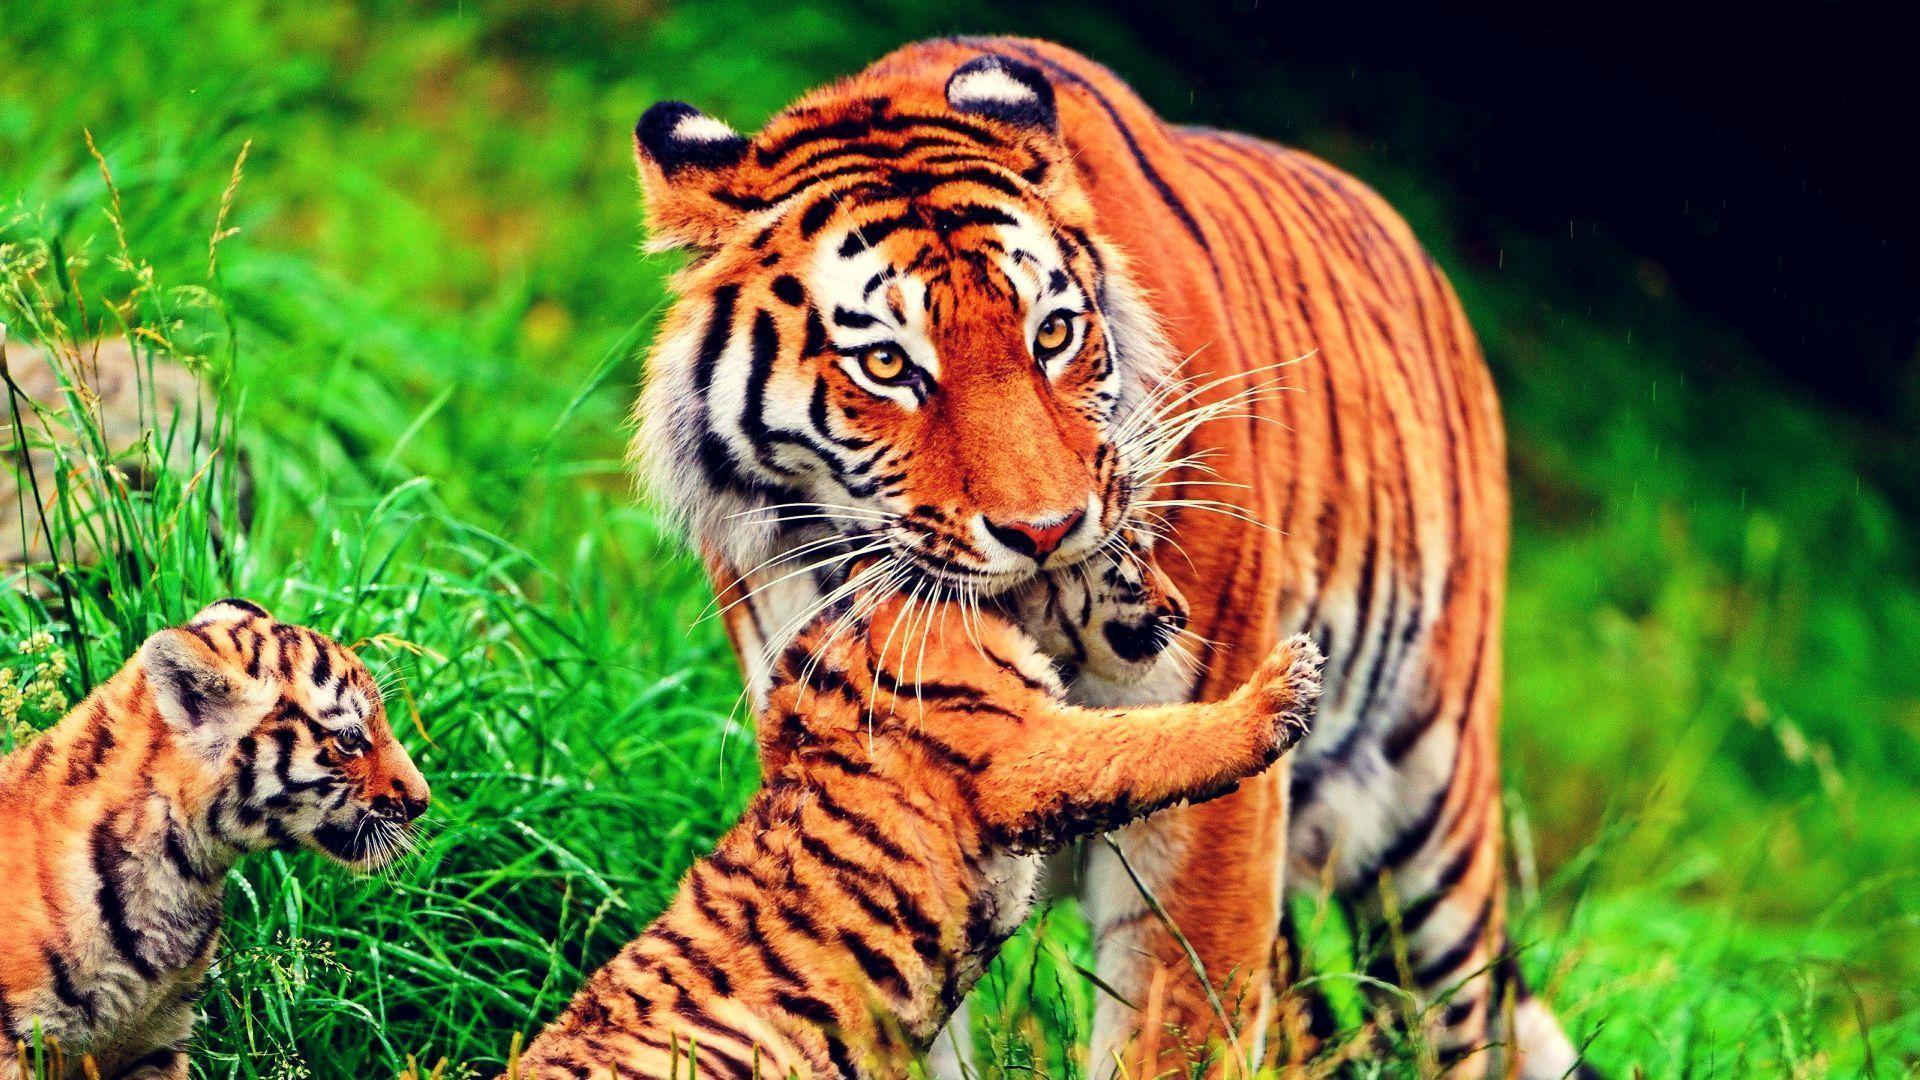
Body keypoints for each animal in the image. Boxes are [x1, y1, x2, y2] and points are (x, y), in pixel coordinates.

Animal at [624, 35, 1595, 1078]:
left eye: (1051, 334)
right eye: (886, 365)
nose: (1047, 530)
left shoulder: (1205, 816)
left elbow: (1182, 1028)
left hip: (1435, 815)